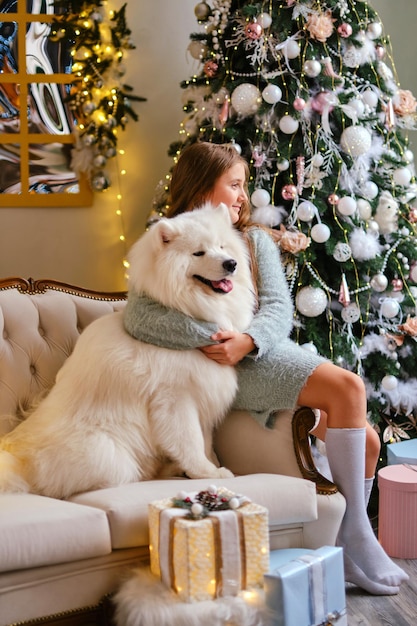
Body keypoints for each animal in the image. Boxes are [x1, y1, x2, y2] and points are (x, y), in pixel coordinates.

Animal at [0, 205, 254, 498]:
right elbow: (190, 442)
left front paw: (203, 467)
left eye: (222, 246)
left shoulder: (203, 397)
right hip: (109, 455)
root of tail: (18, 458)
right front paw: (208, 471)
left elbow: (205, 441)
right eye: (199, 253)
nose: (231, 264)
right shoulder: (175, 399)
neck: (182, 314)